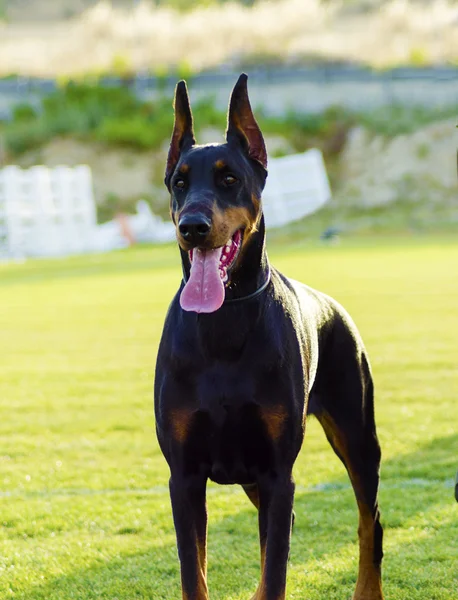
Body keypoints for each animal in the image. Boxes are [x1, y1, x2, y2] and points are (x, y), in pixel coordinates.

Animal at [154, 75, 382, 600]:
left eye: (229, 179)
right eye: (179, 182)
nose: (192, 226)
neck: (224, 323)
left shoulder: (279, 473)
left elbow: (275, 566)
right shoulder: (185, 476)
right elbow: (193, 573)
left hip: (357, 434)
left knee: (370, 520)